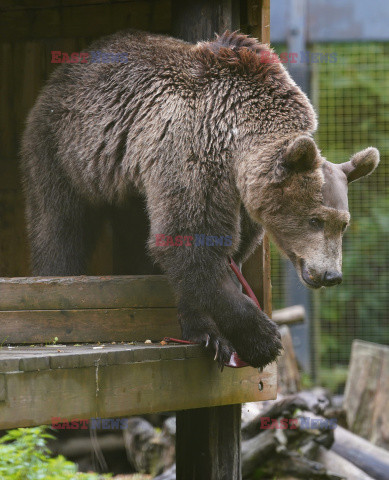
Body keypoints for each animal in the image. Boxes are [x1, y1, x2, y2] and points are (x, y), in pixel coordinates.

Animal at [21, 30, 378, 368]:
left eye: (342, 224)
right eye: (315, 219)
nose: (331, 275)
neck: (236, 141)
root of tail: (67, 67)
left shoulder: (234, 196)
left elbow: (218, 253)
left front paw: (208, 330)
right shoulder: (193, 152)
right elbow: (191, 242)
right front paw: (260, 338)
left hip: (128, 184)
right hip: (66, 147)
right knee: (59, 224)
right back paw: (56, 275)